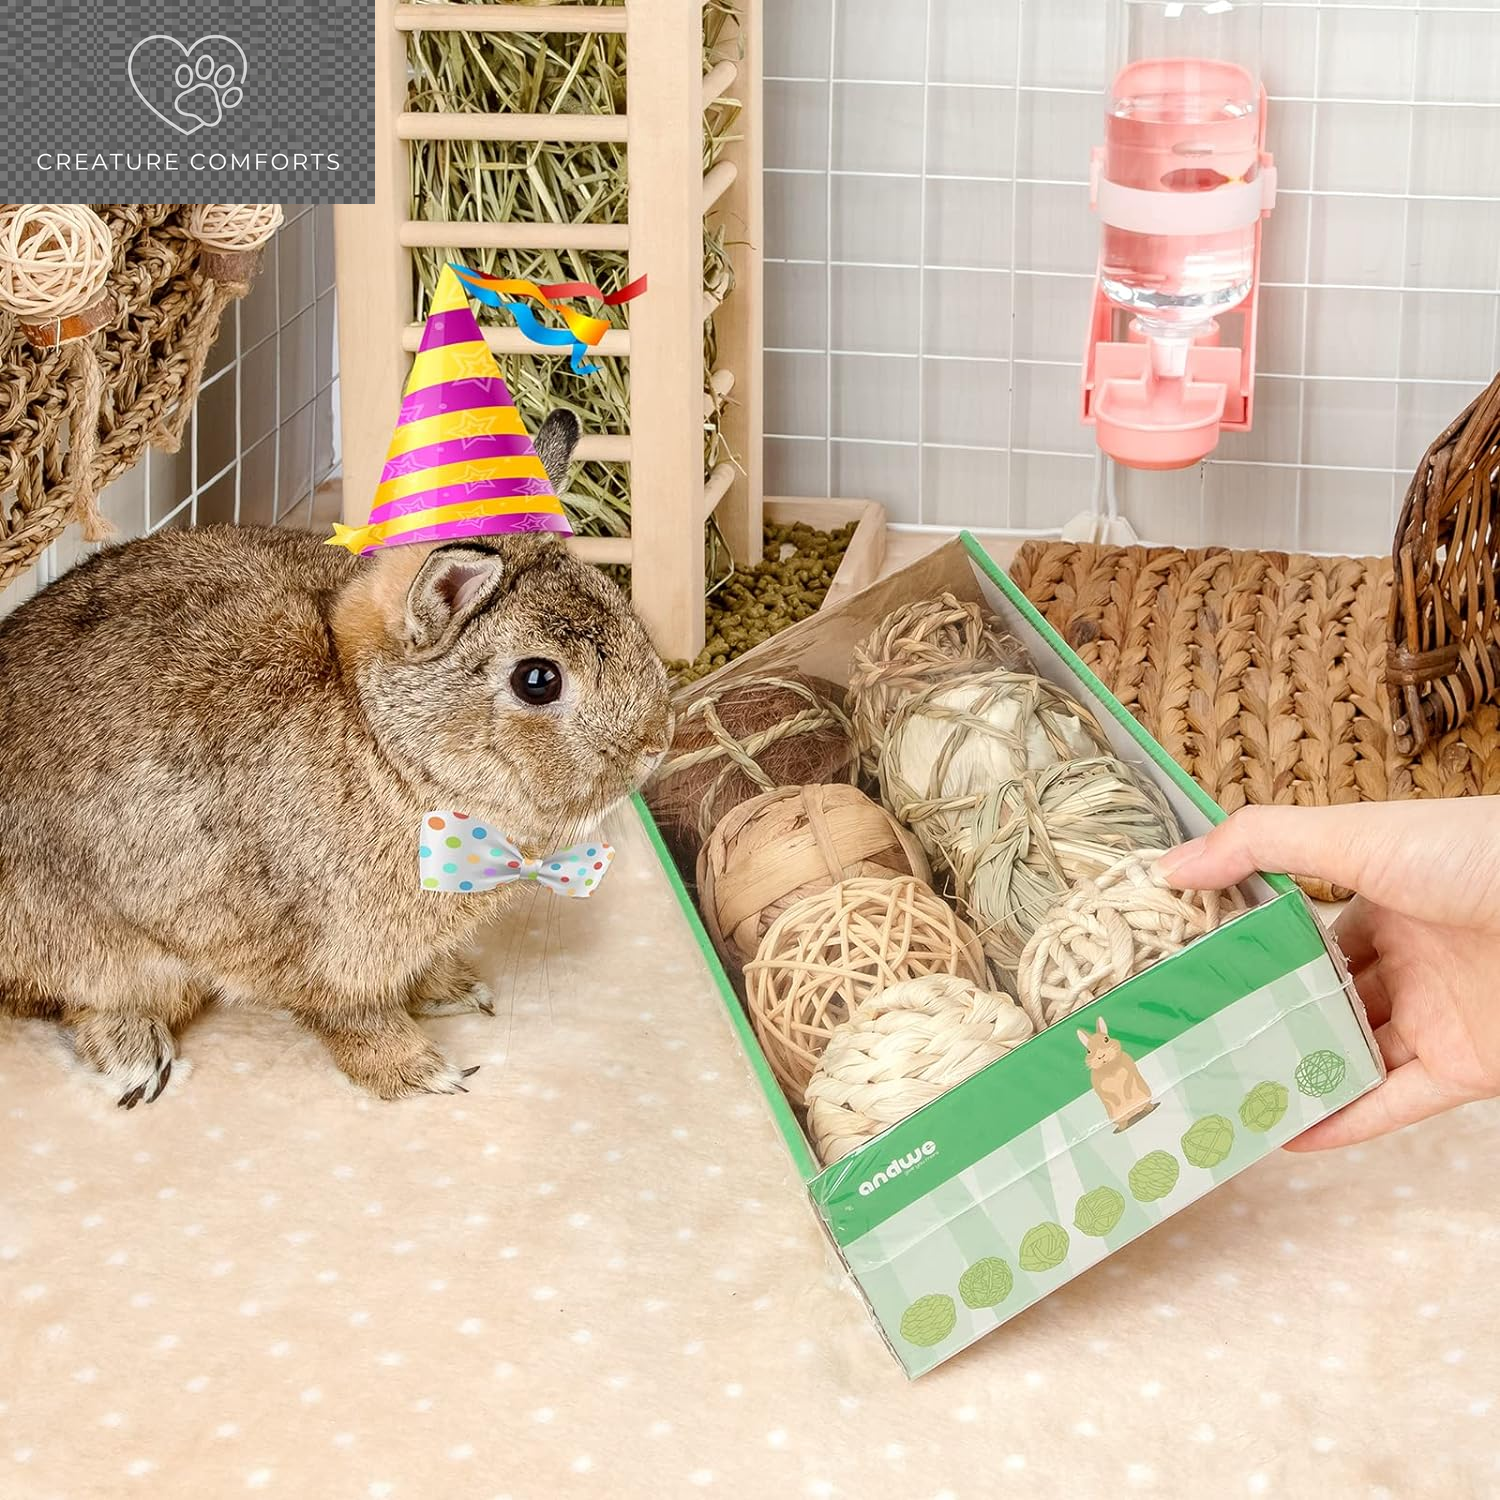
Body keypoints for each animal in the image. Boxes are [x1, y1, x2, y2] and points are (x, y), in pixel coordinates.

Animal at [0, 410, 673, 1104]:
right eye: (537, 681)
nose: (657, 743)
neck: (387, 743)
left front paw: (456, 991)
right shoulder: (338, 953)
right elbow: (353, 1017)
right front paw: (424, 1073)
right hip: (97, 946)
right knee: (80, 1002)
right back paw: (137, 1058)